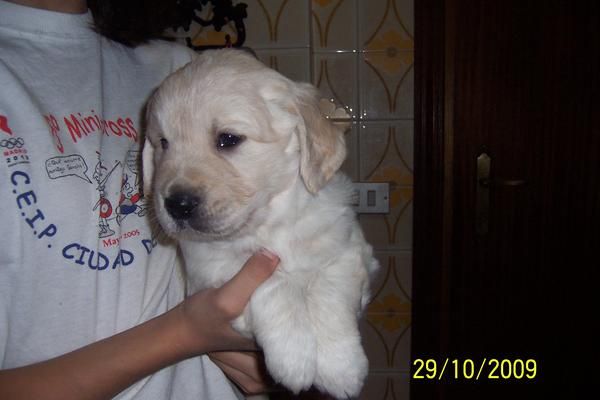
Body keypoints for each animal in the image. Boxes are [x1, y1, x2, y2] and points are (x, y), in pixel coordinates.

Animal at [142, 48, 378, 398]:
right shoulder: (211, 275)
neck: (269, 224)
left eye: (228, 139)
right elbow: (275, 285)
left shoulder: (349, 250)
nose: (177, 204)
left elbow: (328, 292)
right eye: (163, 143)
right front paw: (294, 357)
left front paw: (341, 368)